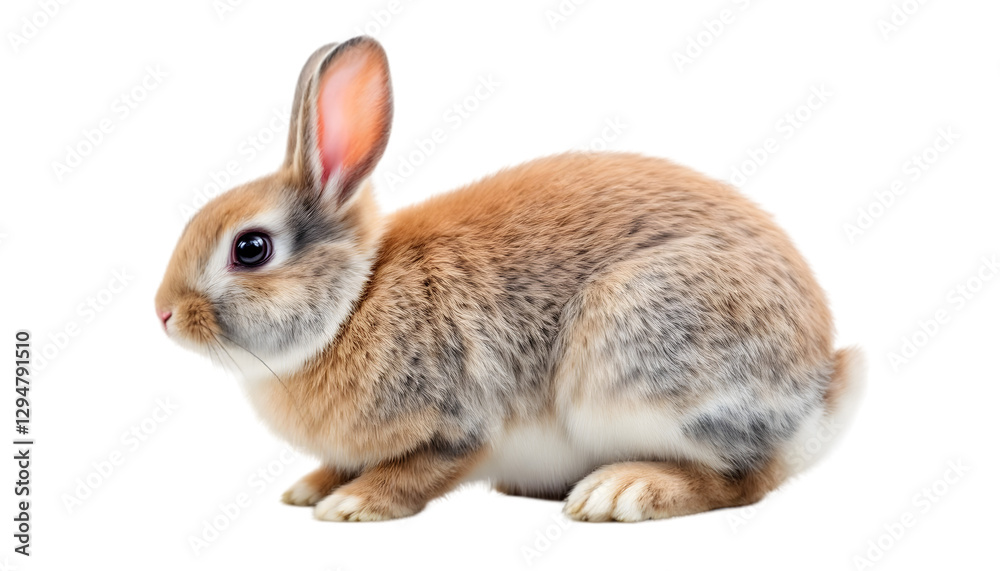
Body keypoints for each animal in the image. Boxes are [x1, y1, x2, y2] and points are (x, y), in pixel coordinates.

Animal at [155, 36, 864, 523]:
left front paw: (351, 505)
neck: (354, 300)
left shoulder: (458, 422)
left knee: (744, 479)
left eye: (250, 248)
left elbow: (419, 471)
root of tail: (818, 389)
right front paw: (310, 489)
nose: (163, 313)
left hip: (639, 356)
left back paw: (621, 491)